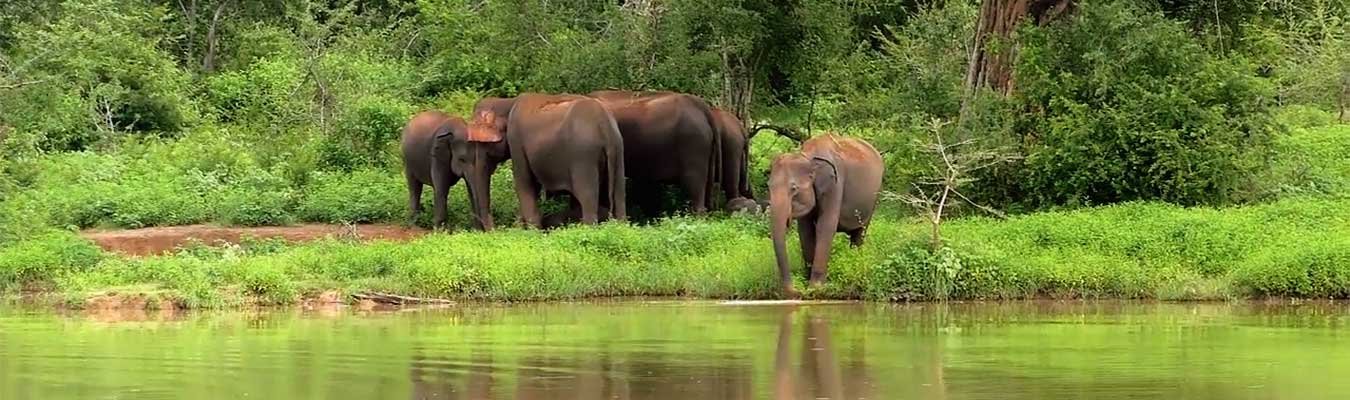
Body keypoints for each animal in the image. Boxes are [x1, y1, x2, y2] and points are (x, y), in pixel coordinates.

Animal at [464, 91, 626, 227]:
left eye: (483, 144)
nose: (494, 230)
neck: (507, 102)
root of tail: (605, 128)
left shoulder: (516, 139)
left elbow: (524, 182)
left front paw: (532, 231)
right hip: (618, 151)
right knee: (619, 195)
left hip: (584, 157)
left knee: (587, 197)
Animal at [772, 134, 885, 297]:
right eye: (768, 186)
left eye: (794, 188)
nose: (797, 291)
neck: (808, 156)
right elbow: (805, 231)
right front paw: (808, 284)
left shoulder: (834, 184)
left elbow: (825, 226)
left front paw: (815, 288)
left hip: (875, 197)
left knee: (860, 232)